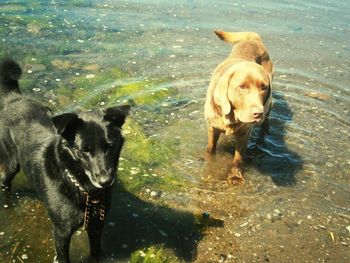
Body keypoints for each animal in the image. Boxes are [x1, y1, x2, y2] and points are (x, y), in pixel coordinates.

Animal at [0, 58, 130, 262]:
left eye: (110, 146)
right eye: (84, 150)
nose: (105, 181)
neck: (84, 189)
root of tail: (14, 98)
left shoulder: (96, 228)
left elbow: (95, 253)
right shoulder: (62, 233)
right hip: (11, 163)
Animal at [205, 31, 274, 185]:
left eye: (263, 87)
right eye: (242, 86)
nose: (258, 113)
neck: (231, 117)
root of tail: (253, 39)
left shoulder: (244, 134)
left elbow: (238, 159)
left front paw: (235, 176)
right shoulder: (212, 128)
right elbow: (211, 148)